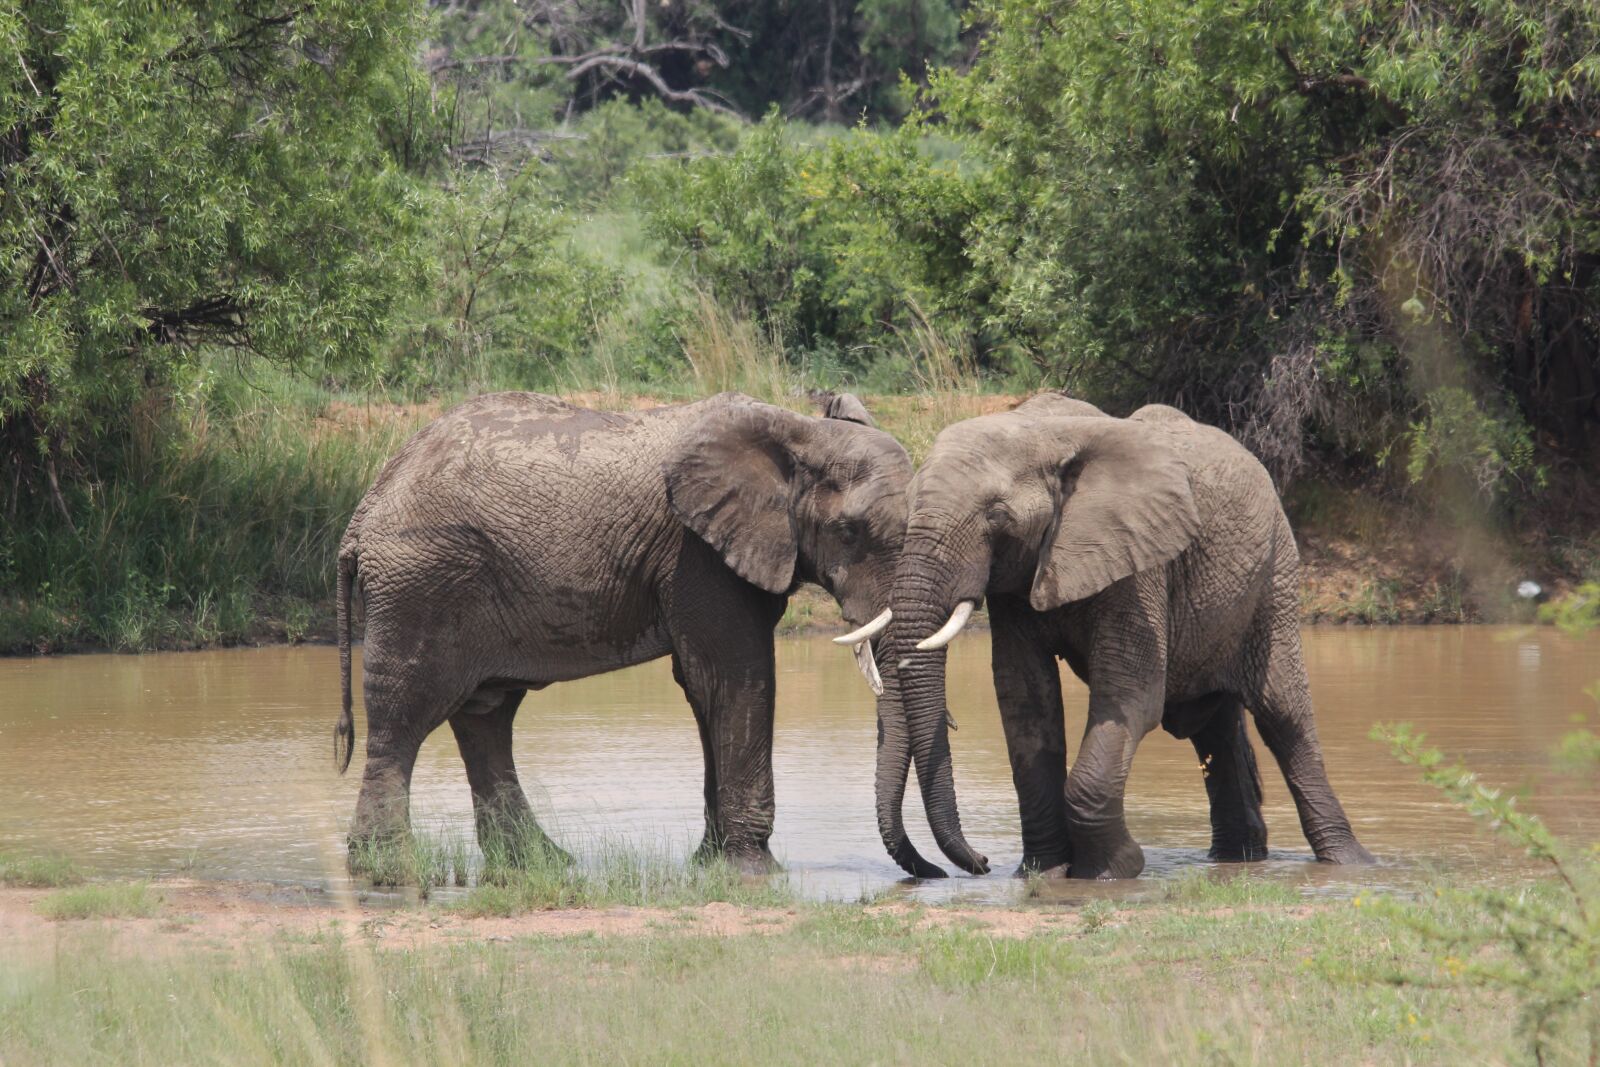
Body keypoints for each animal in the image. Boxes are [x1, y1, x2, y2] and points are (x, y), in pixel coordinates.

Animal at [333, 390, 911, 874]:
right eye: (849, 532)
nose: (926, 869)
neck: (798, 429)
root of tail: (362, 514)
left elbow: (703, 687)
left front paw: (710, 865)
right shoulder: (696, 554)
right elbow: (734, 676)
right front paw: (756, 872)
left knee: (487, 715)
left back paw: (540, 864)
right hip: (420, 582)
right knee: (403, 714)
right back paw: (387, 868)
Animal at [874, 391, 1374, 880]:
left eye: (996, 516)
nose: (979, 864)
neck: (1041, 430)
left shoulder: (1140, 563)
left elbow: (1130, 697)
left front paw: (1113, 871)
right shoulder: (1018, 582)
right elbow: (1026, 702)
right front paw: (1042, 873)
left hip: (1275, 574)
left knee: (1284, 717)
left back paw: (1349, 863)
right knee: (1216, 727)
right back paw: (1239, 859)